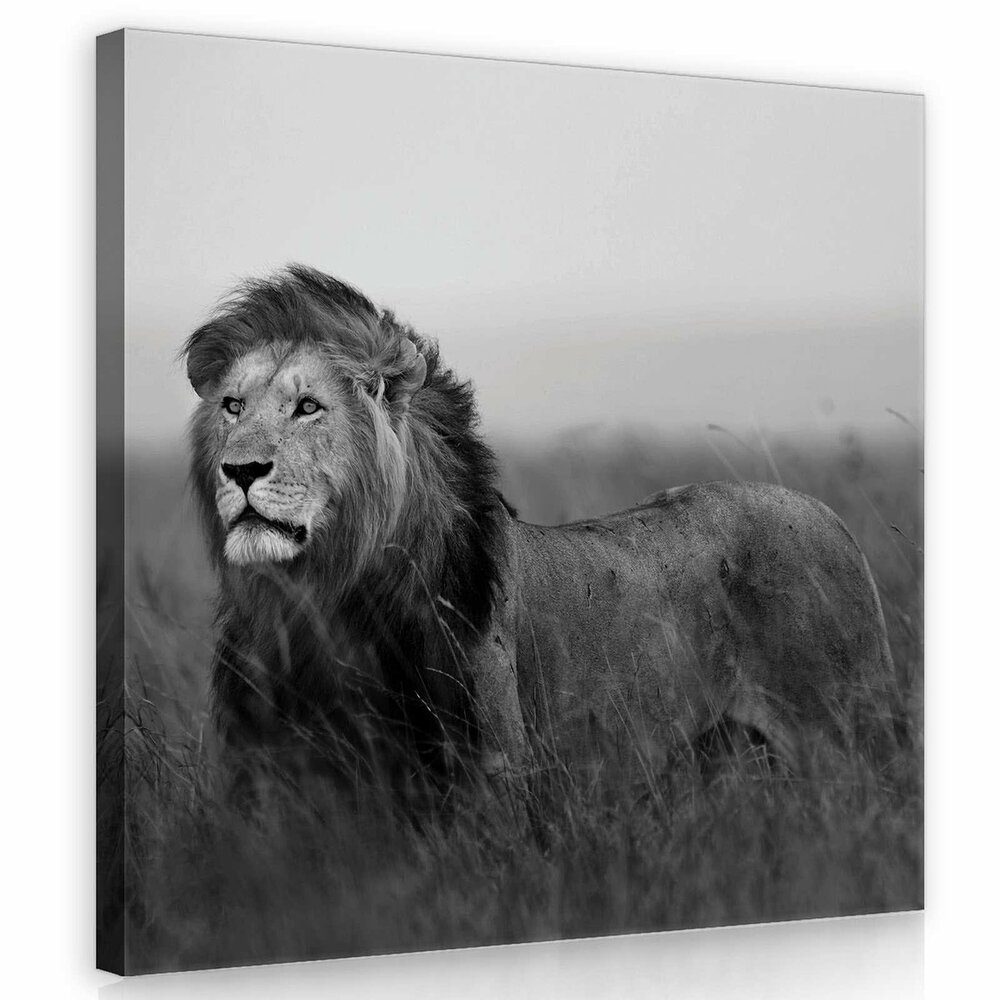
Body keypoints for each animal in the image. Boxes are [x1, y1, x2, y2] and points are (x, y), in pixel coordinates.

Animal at [184, 265, 897, 805]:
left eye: (308, 407)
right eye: (233, 407)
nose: (240, 470)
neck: (318, 602)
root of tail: (830, 516)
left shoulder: (492, 780)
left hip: (845, 737)